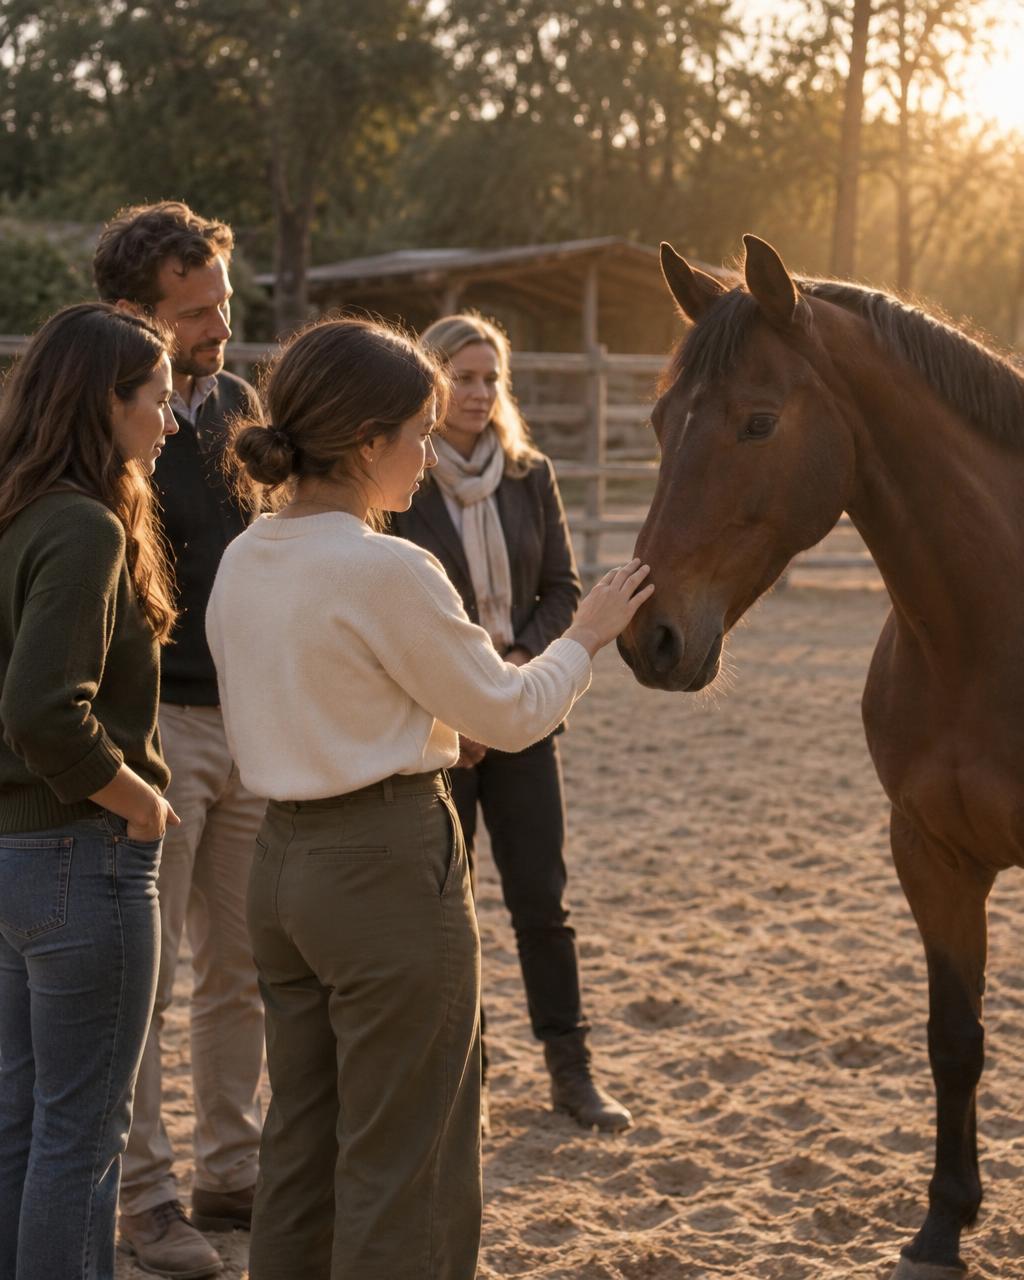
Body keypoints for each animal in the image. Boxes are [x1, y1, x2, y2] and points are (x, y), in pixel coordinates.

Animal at [618, 234, 1024, 1280]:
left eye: (759, 422)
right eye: (661, 420)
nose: (650, 638)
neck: (989, 637)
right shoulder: (930, 854)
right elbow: (954, 1039)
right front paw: (942, 1224)